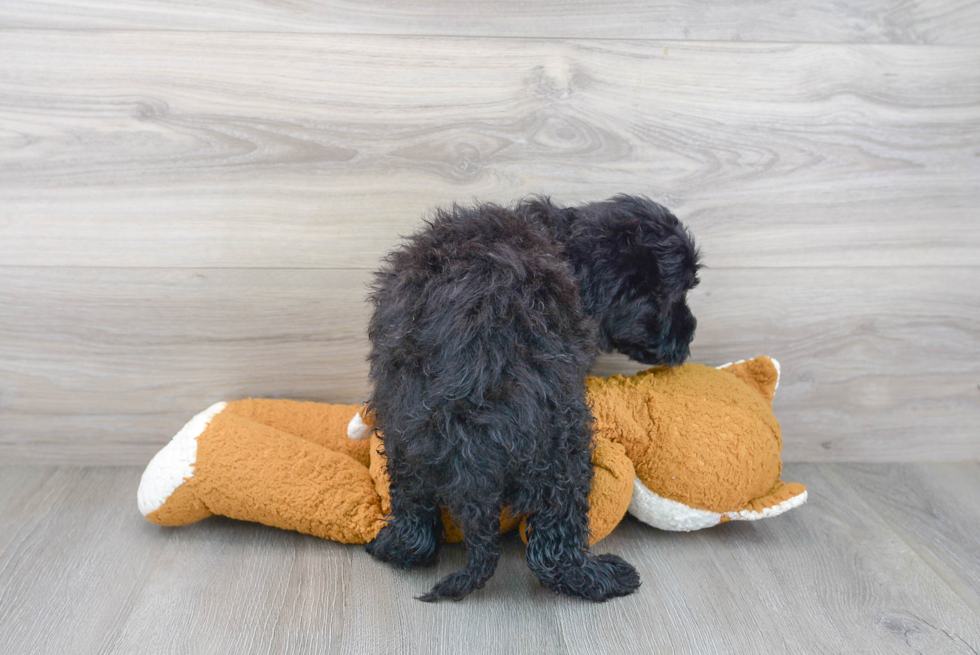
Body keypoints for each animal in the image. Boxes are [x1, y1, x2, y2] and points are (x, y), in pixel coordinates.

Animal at [366, 196, 696, 604]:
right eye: (674, 295)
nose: (690, 333)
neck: (565, 243)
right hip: (563, 449)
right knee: (553, 548)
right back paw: (603, 577)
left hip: (402, 440)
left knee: (415, 517)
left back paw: (392, 547)